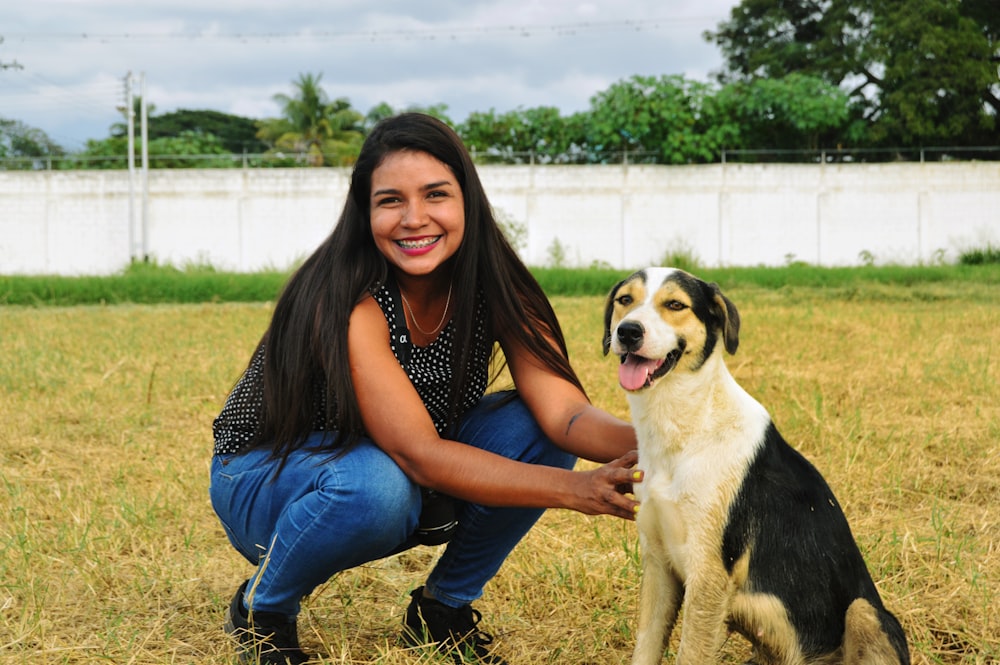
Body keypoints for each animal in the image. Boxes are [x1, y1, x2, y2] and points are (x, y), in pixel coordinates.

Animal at [604, 268, 912, 660]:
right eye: (624, 300)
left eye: (675, 305)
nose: (628, 332)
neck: (686, 428)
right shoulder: (659, 563)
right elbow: (645, 648)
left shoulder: (709, 574)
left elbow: (690, 653)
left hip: (865, 610)